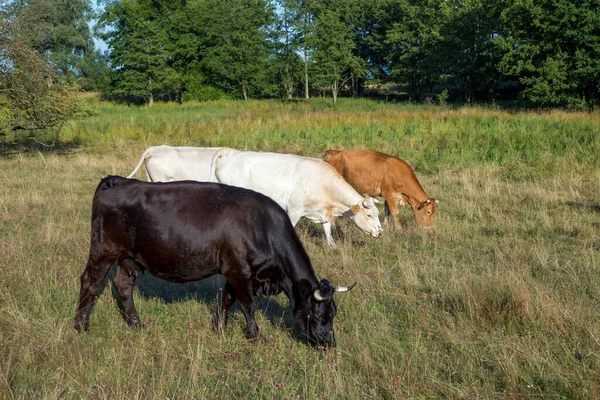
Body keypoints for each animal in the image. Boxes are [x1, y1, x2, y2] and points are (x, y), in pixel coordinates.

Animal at [75, 176, 356, 346]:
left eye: (333, 313)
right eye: (319, 315)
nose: (328, 343)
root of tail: (118, 181)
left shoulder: (235, 271)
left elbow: (226, 301)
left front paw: (220, 330)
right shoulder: (239, 272)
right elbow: (247, 305)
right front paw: (257, 337)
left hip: (129, 258)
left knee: (123, 287)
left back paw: (136, 325)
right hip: (103, 251)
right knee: (89, 282)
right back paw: (81, 326)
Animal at [209, 148, 382, 247]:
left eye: (377, 214)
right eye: (369, 215)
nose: (380, 233)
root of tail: (229, 153)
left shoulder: (324, 212)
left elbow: (327, 232)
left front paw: (333, 247)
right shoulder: (293, 210)